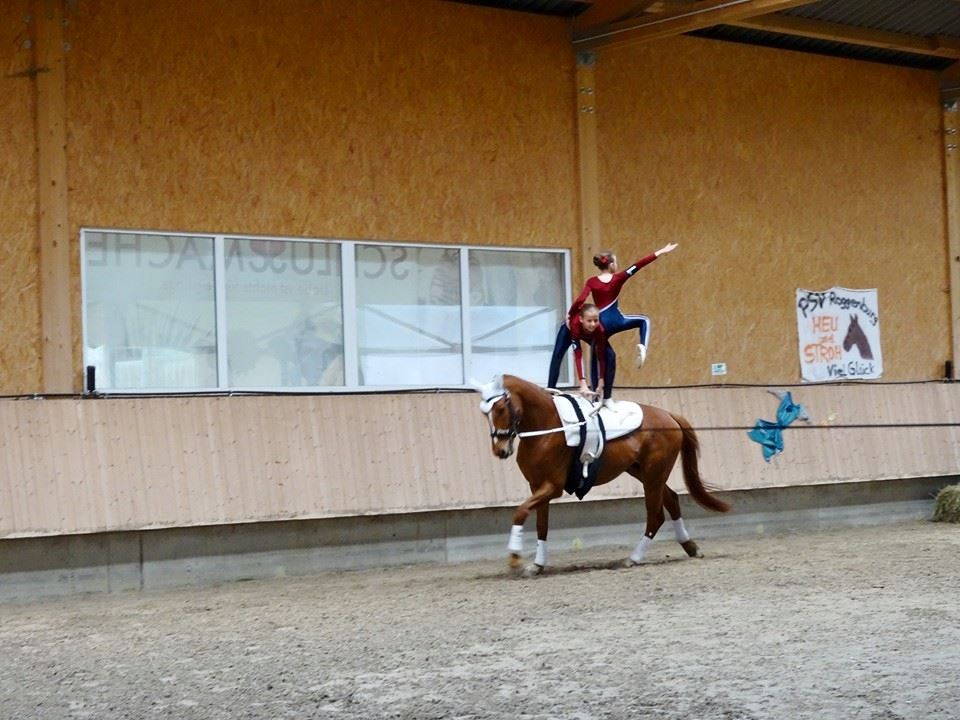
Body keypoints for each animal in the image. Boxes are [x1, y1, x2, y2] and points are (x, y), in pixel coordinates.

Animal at [476, 374, 732, 576]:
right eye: (485, 414)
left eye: (500, 408)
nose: (500, 450)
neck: (546, 427)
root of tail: (669, 416)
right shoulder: (537, 486)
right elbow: (541, 525)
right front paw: (537, 565)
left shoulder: (552, 487)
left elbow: (520, 512)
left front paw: (514, 558)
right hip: (643, 472)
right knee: (671, 500)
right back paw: (690, 546)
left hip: (654, 474)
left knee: (655, 514)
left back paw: (633, 558)